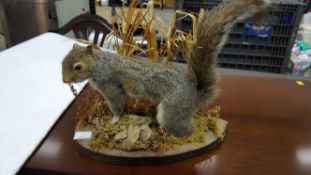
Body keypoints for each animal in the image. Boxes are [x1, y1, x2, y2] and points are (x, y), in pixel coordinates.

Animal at [62, 0, 272, 137]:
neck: (99, 65)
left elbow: (117, 104)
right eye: (63, 61)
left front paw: (114, 120)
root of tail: (195, 94)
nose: (64, 81)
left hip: (173, 107)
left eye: (78, 66)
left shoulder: (111, 85)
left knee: (187, 130)